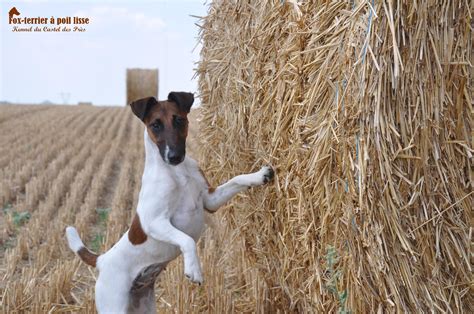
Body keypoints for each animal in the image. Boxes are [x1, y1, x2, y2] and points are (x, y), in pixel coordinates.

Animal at [65, 92, 276, 312]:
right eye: (155, 125)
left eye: (179, 120)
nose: (174, 156)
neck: (177, 172)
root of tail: (102, 260)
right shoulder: (154, 221)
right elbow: (187, 239)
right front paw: (193, 269)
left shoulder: (210, 200)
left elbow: (237, 179)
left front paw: (259, 175)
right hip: (113, 305)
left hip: (145, 307)